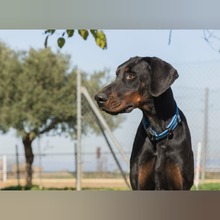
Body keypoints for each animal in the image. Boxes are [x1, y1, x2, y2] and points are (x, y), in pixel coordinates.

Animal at [94, 57, 194, 191]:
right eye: (116, 74)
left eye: (131, 75)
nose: (98, 98)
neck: (158, 130)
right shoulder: (139, 182)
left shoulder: (181, 183)